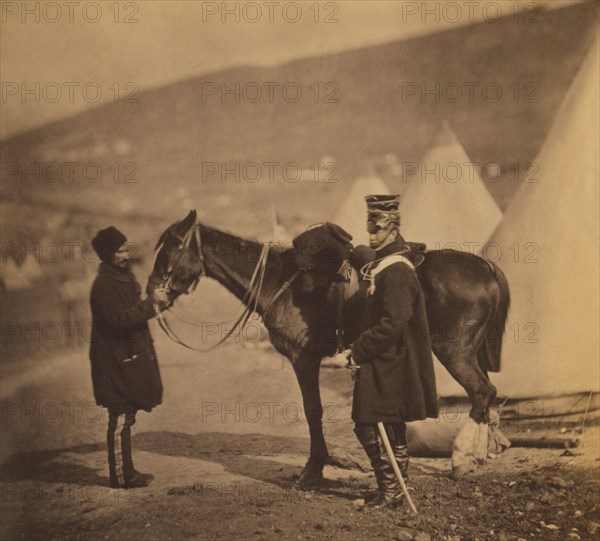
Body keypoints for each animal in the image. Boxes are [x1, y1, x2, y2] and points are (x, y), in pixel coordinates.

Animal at [148, 210, 508, 486]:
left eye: (171, 248)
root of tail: (485, 267)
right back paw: (483, 450)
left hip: (454, 352)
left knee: (481, 392)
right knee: (488, 395)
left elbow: (313, 411)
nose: (152, 295)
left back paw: (462, 458)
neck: (281, 280)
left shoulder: (303, 358)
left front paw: (312, 470)